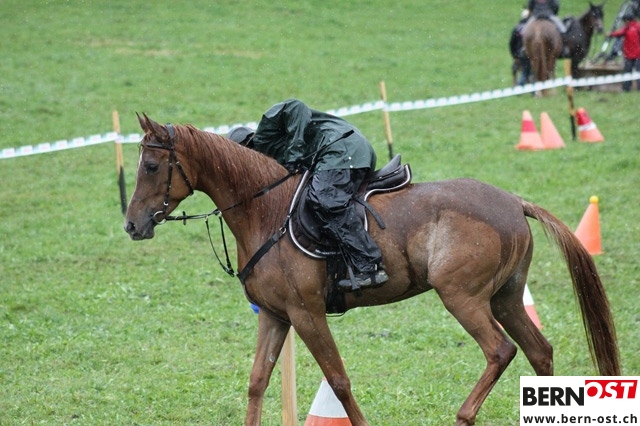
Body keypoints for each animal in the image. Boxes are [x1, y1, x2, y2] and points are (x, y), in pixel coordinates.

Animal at [124, 114, 620, 426]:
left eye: (150, 165)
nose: (131, 225)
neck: (265, 209)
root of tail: (515, 201)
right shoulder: (276, 316)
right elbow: (257, 383)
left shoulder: (307, 315)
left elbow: (339, 381)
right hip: (506, 298)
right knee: (540, 351)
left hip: (463, 297)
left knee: (500, 351)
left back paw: (463, 416)